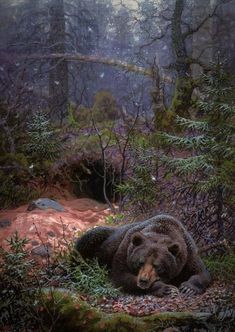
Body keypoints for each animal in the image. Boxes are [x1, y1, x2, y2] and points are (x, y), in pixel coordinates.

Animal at [75, 215, 211, 296]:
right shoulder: (125, 249)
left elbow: (201, 272)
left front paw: (188, 287)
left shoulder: (188, 253)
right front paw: (166, 289)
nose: (143, 280)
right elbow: (121, 276)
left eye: (157, 266)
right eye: (140, 262)